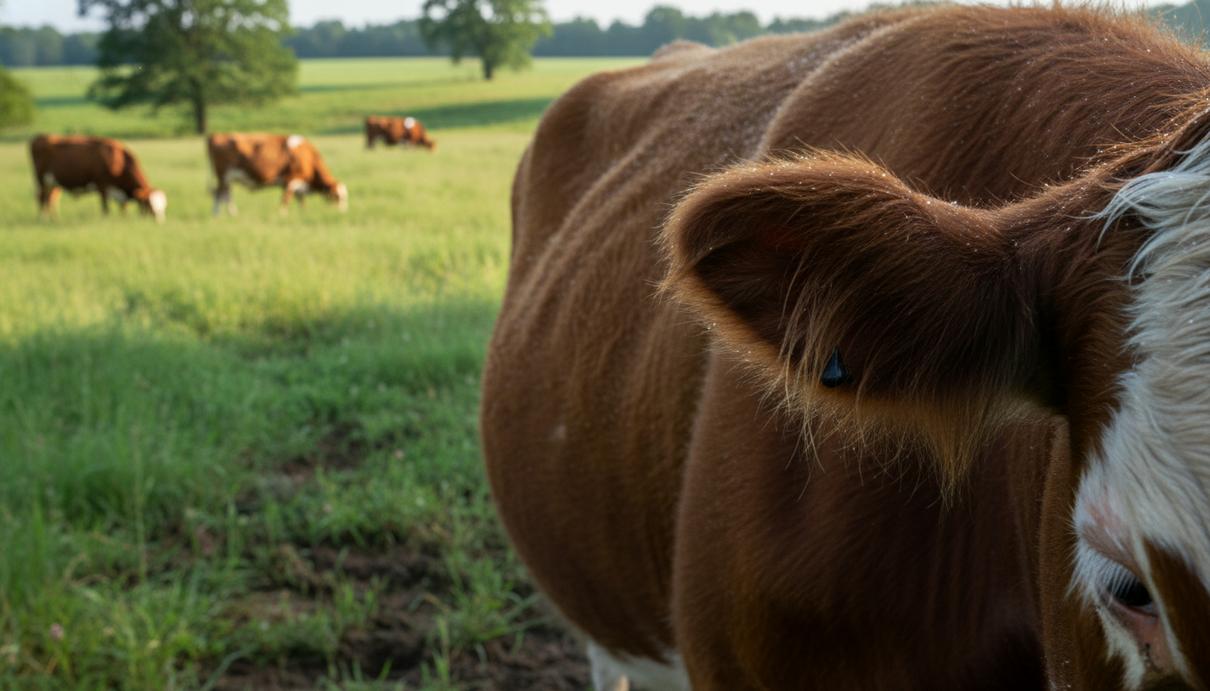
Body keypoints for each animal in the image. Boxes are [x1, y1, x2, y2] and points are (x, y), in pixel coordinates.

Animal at [30, 134, 167, 222]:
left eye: (164, 207)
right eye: (149, 206)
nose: (159, 222)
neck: (118, 161)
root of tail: (40, 136)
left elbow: (123, 208)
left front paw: (124, 218)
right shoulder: (102, 185)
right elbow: (105, 208)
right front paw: (105, 220)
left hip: (53, 182)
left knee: (51, 199)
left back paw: (55, 219)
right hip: (41, 180)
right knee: (42, 199)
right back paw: (43, 219)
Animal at [206, 133, 348, 216]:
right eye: (337, 197)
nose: (342, 212)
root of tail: (215, 135)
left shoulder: (300, 183)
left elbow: (301, 200)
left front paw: (303, 213)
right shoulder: (290, 179)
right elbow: (285, 200)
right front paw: (282, 215)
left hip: (228, 178)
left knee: (226, 194)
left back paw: (232, 214)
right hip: (223, 175)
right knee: (219, 195)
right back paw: (217, 215)